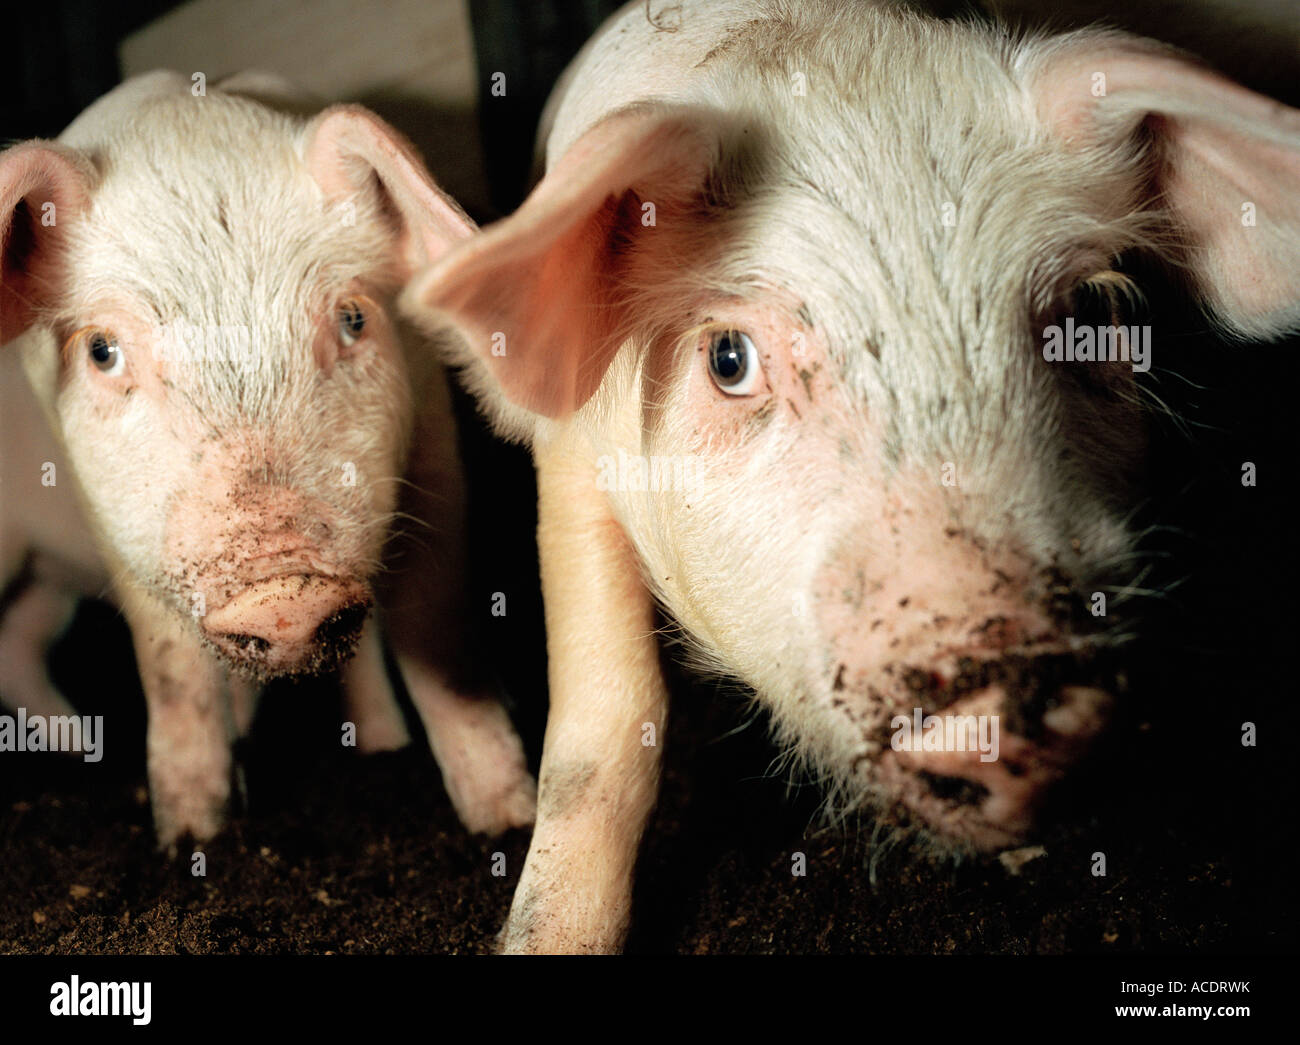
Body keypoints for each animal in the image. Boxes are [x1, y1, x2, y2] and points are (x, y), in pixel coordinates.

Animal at [0, 70, 536, 848]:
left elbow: (436, 622)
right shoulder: (108, 513)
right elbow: (171, 669)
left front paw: (505, 819)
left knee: (20, 644)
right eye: (102, 350)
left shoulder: (433, 440)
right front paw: (193, 838)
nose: (285, 594)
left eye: (353, 319)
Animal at [406, 0, 1300, 952]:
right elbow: (602, 726)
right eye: (729, 358)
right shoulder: (571, 459)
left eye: (1092, 314)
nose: (1000, 690)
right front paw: (548, 938)